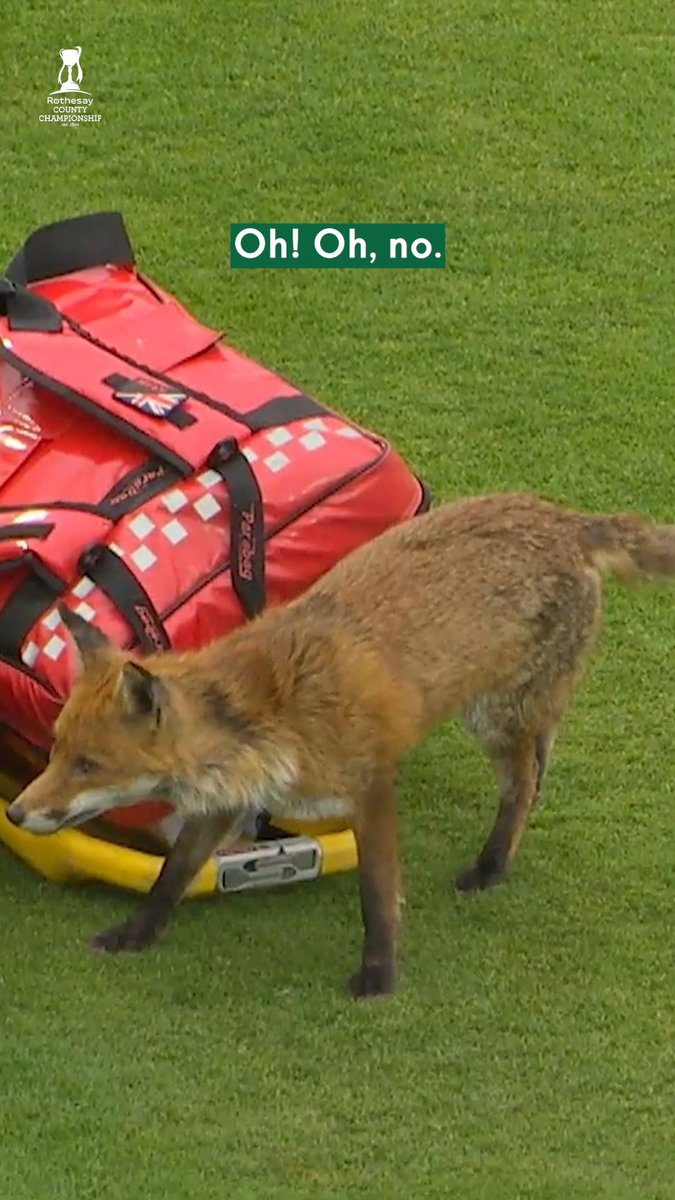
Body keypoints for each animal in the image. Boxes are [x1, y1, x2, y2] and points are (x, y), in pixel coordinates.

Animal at [7, 492, 675, 998]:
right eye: (56, 749)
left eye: (89, 764)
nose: (14, 812)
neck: (272, 718)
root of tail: (568, 519)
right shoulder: (226, 799)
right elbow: (172, 876)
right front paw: (136, 934)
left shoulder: (370, 787)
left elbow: (377, 896)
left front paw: (379, 976)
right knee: (537, 772)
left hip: (495, 716)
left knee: (526, 783)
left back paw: (490, 867)